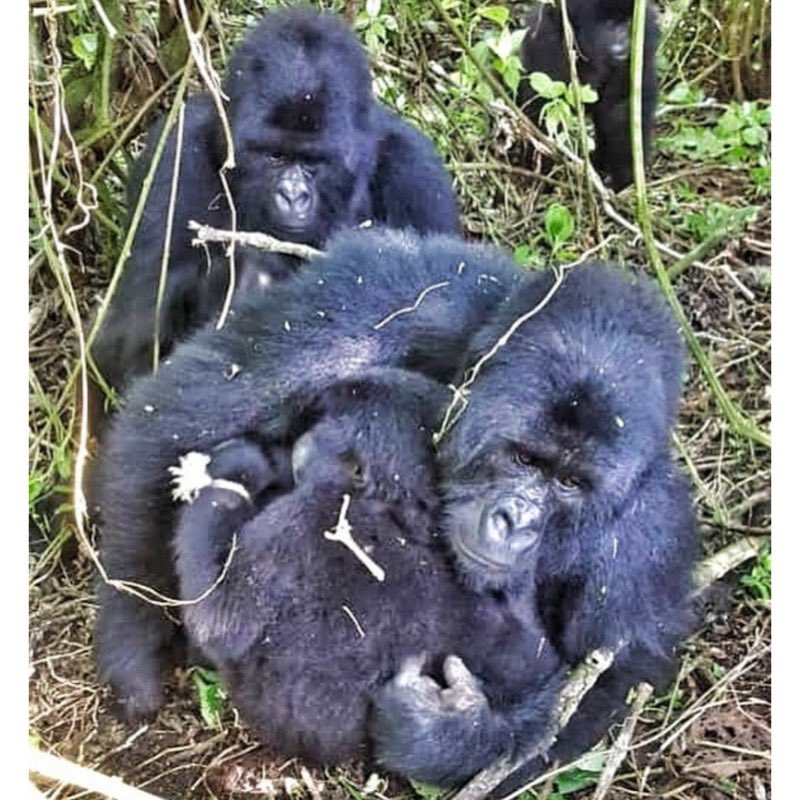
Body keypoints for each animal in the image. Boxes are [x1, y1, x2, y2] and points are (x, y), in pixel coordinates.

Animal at [90, 3, 460, 396]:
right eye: (275, 156)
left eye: (312, 161)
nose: (292, 195)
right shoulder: (174, 156)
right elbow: (130, 339)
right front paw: (246, 278)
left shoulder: (417, 173)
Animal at [173, 370, 564, 788]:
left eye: (310, 434)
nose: (285, 450)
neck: (389, 506)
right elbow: (537, 669)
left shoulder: (299, 518)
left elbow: (219, 619)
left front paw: (232, 470)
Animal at [372, 264, 696, 792]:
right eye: (525, 459)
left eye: (570, 482)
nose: (515, 521)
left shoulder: (647, 538)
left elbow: (603, 682)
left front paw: (451, 731)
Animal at [516, 0, 660, 189]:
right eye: (609, 24)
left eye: (629, 23)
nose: (623, 40)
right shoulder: (548, 41)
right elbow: (544, 107)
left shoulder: (644, 44)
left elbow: (622, 111)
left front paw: (624, 178)